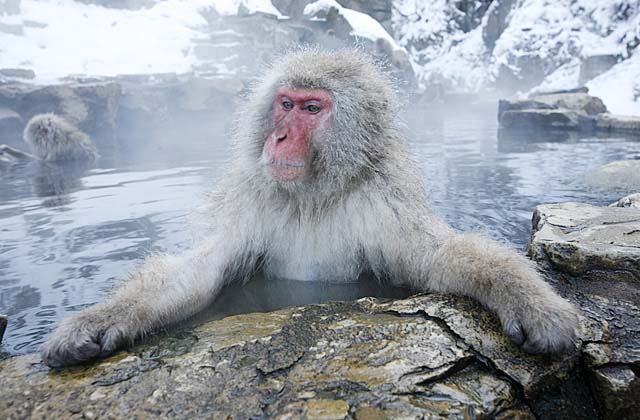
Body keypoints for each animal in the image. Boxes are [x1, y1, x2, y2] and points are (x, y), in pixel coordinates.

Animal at [41, 50, 580, 368]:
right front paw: (101, 318)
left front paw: (532, 302)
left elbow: (436, 258)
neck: (314, 197)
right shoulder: (254, 201)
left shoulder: (383, 202)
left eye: (311, 109)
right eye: (285, 103)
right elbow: (204, 269)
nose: (278, 137)